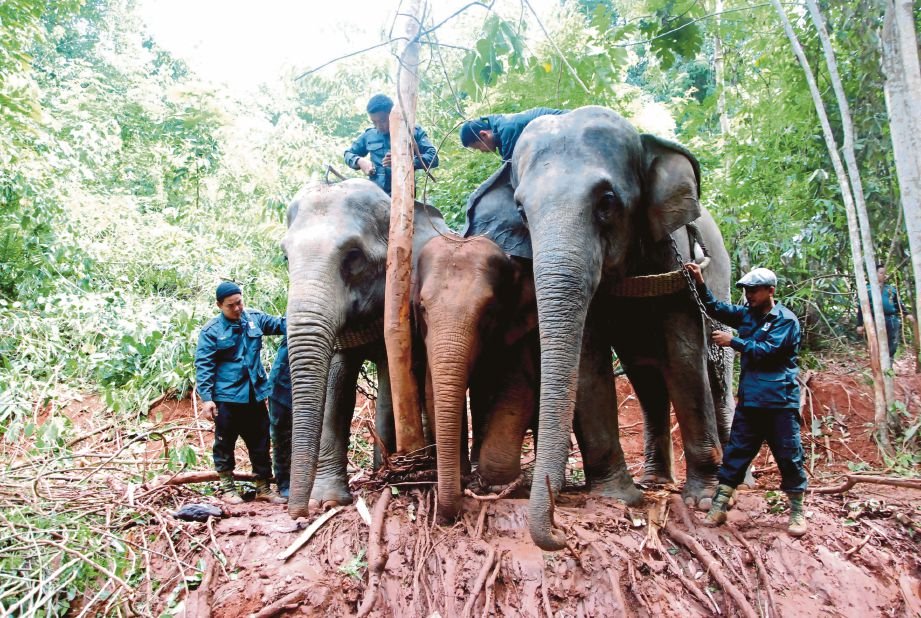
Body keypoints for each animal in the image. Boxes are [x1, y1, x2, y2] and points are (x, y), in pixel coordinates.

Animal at [284, 178, 450, 516]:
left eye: (353, 257)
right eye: (285, 257)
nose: (299, 514)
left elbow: (391, 377)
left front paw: (387, 481)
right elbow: (338, 380)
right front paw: (328, 501)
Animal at [510, 106, 732, 548]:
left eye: (607, 201)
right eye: (522, 211)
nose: (560, 532)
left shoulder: (676, 258)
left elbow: (684, 353)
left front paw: (700, 500)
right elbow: (589, 358)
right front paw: (616, 497)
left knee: (716, 375)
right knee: (647, 381)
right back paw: (654, 480)